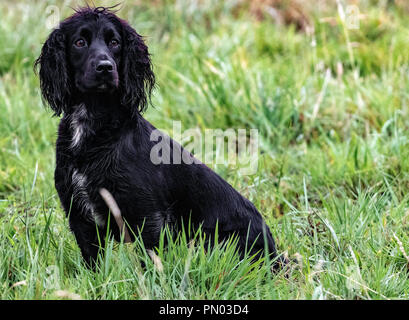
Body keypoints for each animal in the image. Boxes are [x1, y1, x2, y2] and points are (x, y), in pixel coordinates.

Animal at [35, 6, 280, 268]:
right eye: (79, 42)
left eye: (114, 42)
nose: (105, 67)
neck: (93, 122)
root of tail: (276, 254)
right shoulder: (80, 215)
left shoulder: (147, 215)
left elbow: (151, 259)